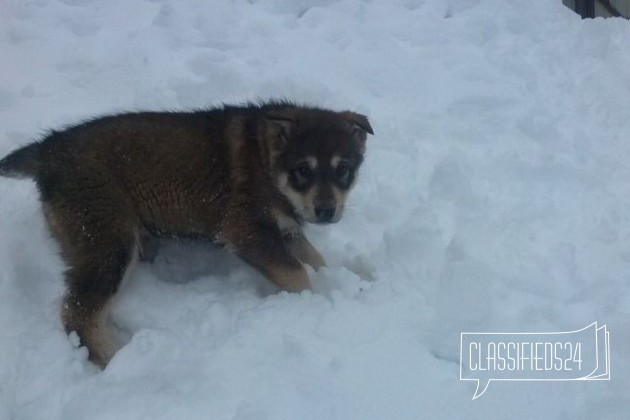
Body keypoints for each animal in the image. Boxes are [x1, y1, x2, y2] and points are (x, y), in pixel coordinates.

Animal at [0, 100, 372, 366]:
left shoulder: (287, 229)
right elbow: (298, 274)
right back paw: (119, 361)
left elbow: (317, 259)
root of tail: (46, 151)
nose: (326, 211)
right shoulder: (246, 230)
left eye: (343, 169)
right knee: (78, 313)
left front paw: (354, 283)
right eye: (303, 170)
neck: (268, 160)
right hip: (108, 241)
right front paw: (323, 300)